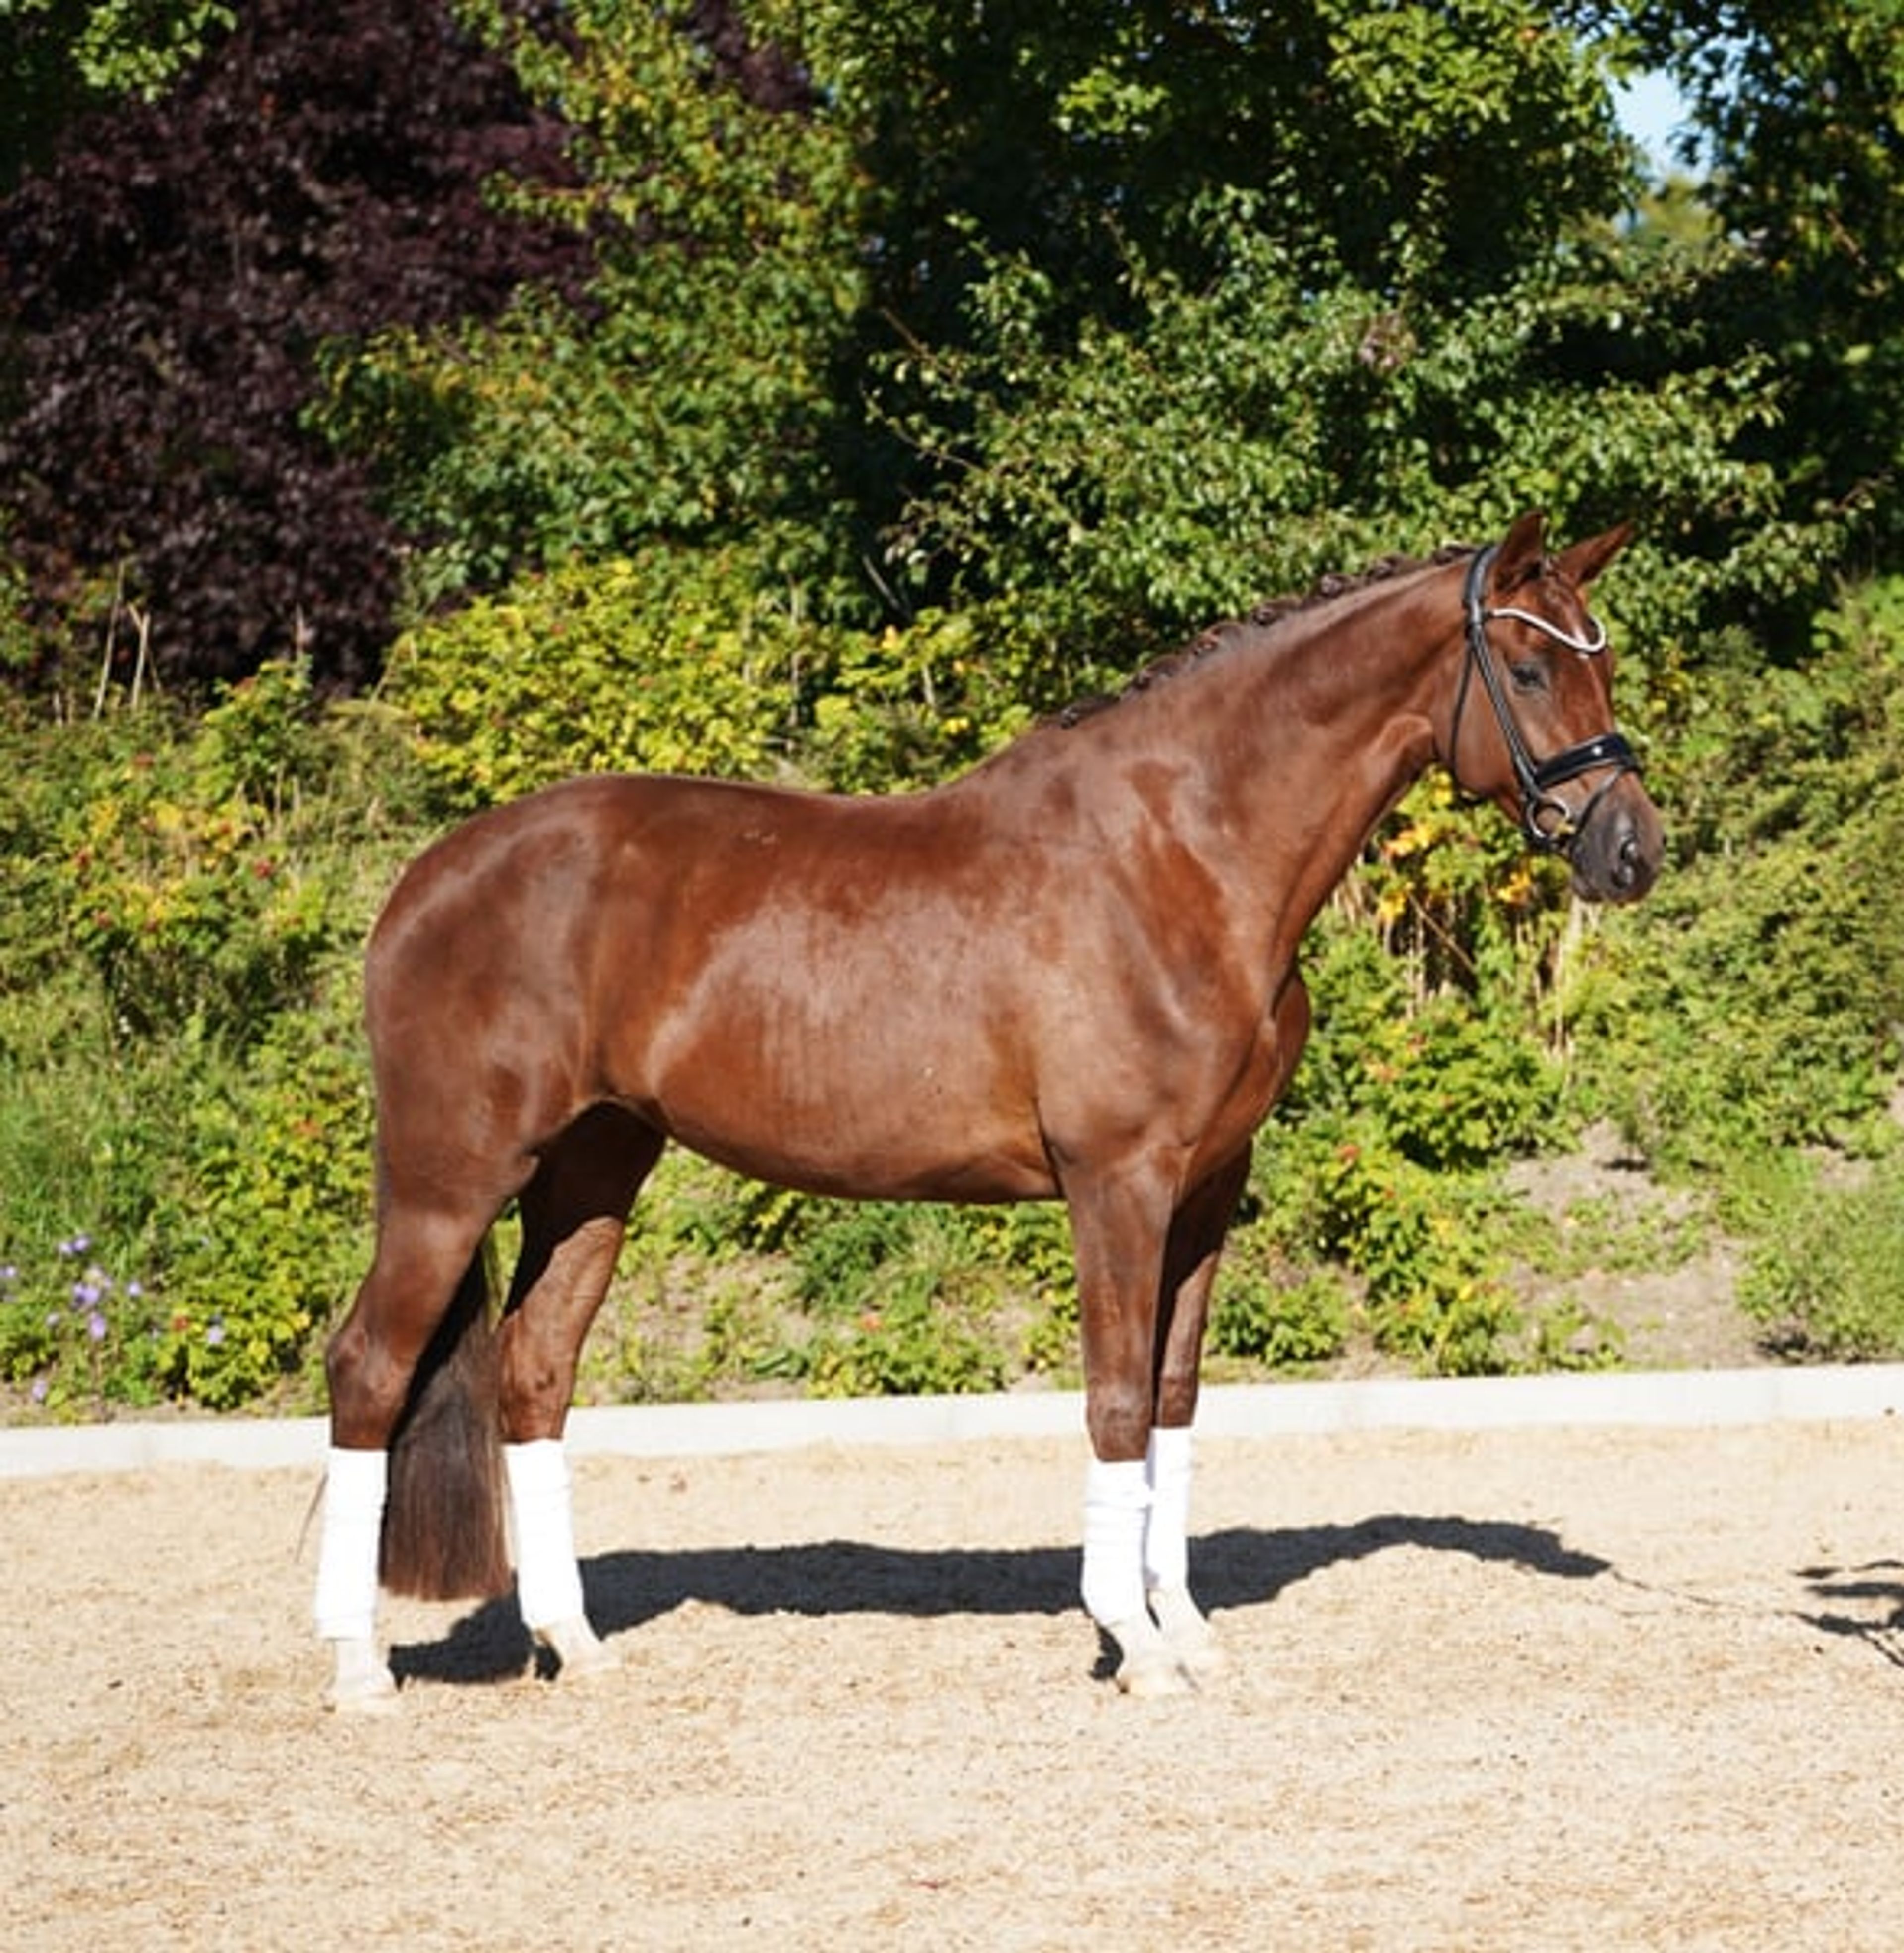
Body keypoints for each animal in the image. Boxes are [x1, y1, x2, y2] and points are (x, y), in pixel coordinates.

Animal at [314, 509, 1664, 1710]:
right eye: (1531, 665)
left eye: (1602, 659)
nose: (1632, 852)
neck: (1184, 855)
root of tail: (426, 881)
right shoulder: (1116, 1180)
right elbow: (1115, 1400)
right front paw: (1135, 1645)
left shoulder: (1208, 1185)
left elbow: (1173, 1400)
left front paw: (1181, 1624)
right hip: (450, 1178)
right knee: (370, 1367)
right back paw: (359, 1670)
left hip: (597, 1166)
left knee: (534, 1371)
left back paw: (576, 1645)